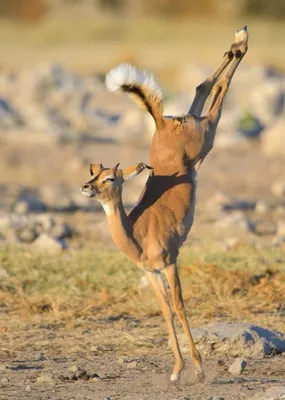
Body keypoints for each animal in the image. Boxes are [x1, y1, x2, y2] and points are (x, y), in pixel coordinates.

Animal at [80, 28, 246, 382]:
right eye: (93, 173)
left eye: (110, 178)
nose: (86, 188)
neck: (138, 237)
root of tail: (160, 123)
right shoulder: (152, 273)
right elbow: (165, 312)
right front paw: (176, 370)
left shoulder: (170, 263)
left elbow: (180, 307)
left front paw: (198, 368)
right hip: (200, 130)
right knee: (203, 88)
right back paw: (236, 43)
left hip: (208, 134)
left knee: (220, 92)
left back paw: (241, 42)